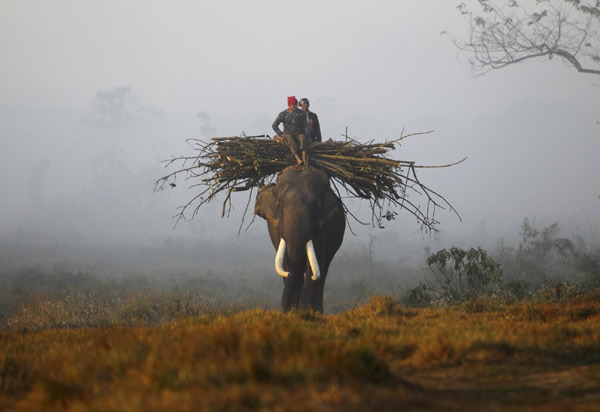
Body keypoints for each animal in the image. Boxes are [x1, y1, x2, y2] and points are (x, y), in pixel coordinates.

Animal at [254, 164, 346, 312]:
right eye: (279, 206)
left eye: (315, 206)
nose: (282, 309)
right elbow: (287, 263)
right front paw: (289, 312)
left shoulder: (323, 226)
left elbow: (315, 262)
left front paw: (304, 312)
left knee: (323, 270)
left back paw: (317, 311)